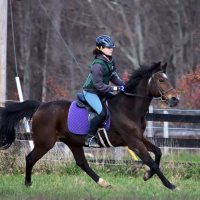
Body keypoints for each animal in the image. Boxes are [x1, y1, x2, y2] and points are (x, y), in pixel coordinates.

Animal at [0, 61, 180, 190]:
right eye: (161, 80)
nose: (175, 99)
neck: (128, 108)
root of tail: (40, 106)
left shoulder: (139, 138)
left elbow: (158, 153)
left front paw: (147, 175)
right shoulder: (133, 142)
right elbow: (151, 161)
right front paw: (170, 185)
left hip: (72, 142)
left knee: (82, 163)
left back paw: (103, 183)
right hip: (45, 143)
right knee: (30, 158)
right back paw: (28, 184)